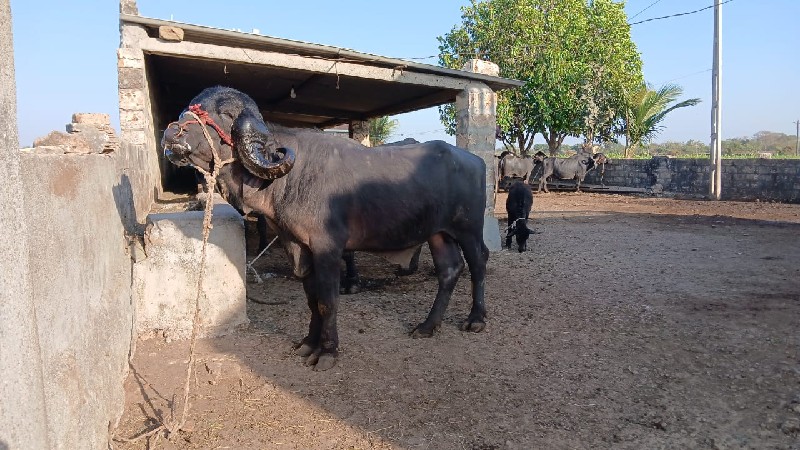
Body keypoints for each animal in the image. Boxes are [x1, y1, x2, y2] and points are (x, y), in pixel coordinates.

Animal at [161, 86, 488, 370]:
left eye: (226, 114)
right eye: (192, 104)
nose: (172, 132)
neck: (288, 178)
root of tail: (474, 160)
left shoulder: (327, 249)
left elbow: (328, 301)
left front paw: (328, 352)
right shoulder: (298, 246)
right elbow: (312, 299)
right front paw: (309, 343)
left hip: (469, 228)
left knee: (478, 262)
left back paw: (476, 319)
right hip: (438, 234)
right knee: (449, 269)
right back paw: (427, 325)